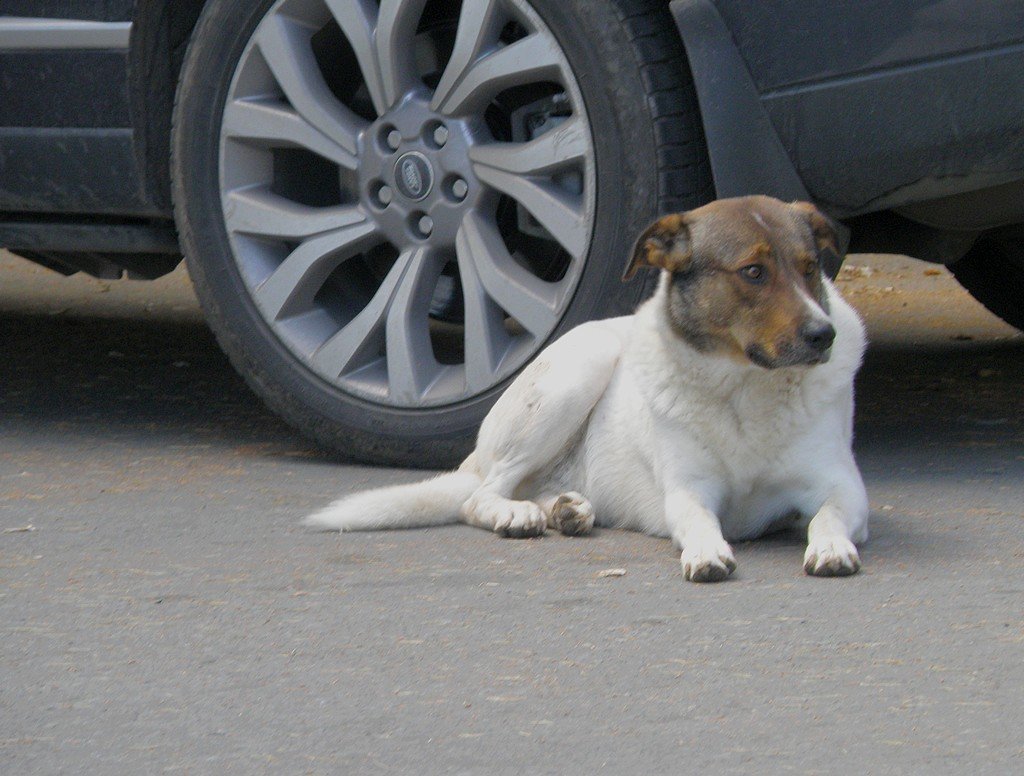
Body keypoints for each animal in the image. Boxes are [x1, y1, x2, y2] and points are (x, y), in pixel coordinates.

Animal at [301, 195, 864, 581]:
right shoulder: (689, 490)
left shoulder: (842, 486)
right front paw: (706, 550)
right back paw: (517, 513)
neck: (746, 388)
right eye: (753, 271)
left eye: (811, 268)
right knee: (479, 496)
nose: (823, 335)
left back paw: (567, 509)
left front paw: (830, 546)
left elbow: (829, 515)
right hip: (577, 372)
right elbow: (699, 519)